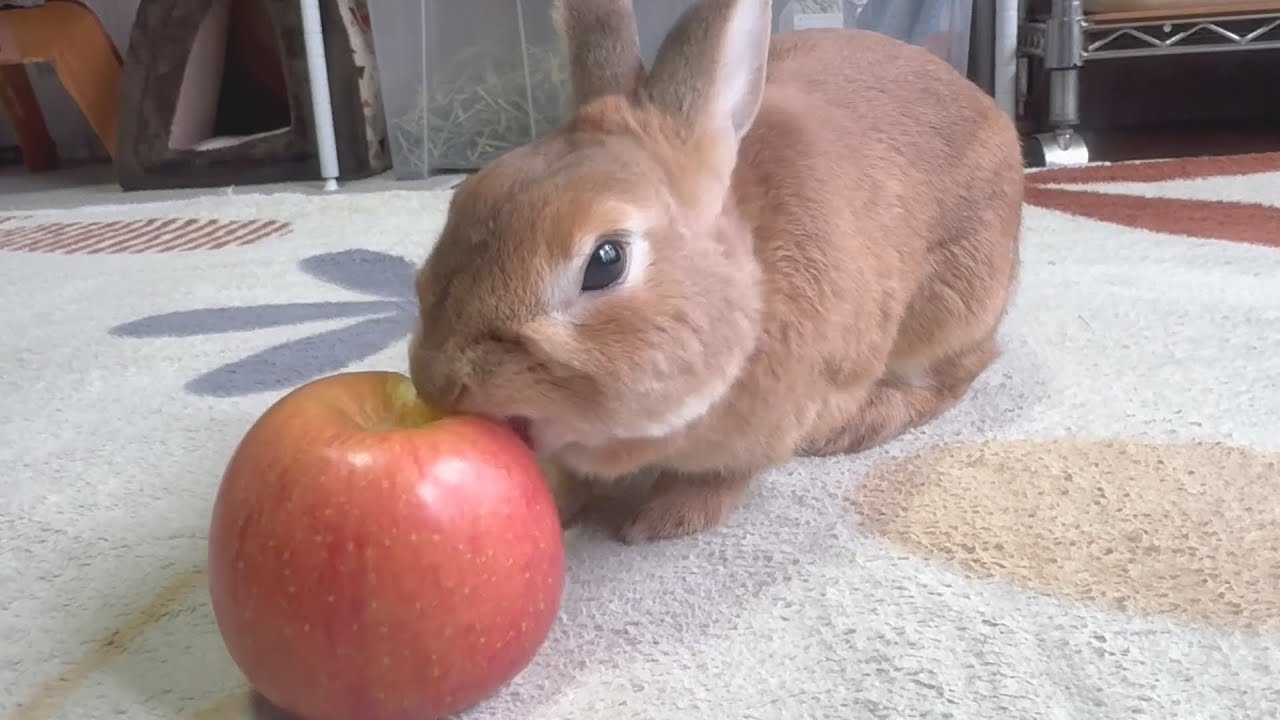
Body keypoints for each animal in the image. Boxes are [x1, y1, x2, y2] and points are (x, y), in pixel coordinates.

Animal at [408, 0, 1023, 544]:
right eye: (462, 201)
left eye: (606, 262)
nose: (439, 382)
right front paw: (560, 504)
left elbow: (718, 479)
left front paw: (662, 520)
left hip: (949, 311)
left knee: (958, 374)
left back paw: (856, 425)